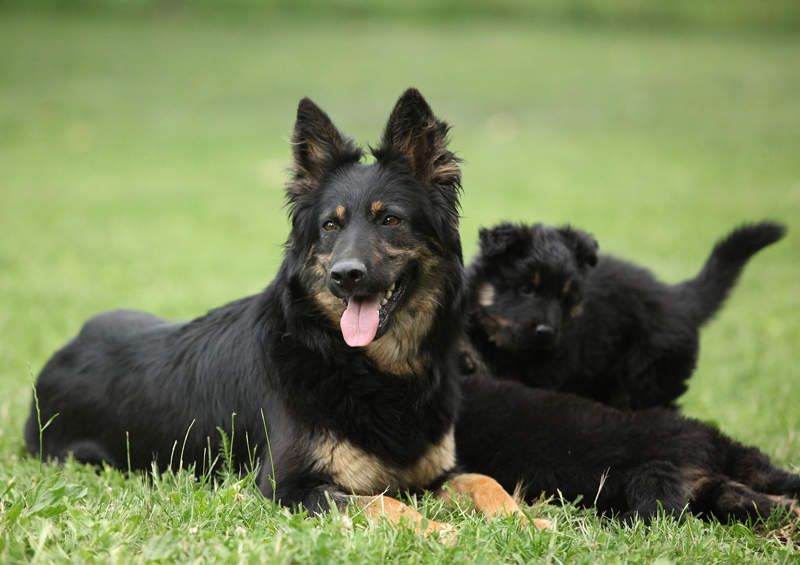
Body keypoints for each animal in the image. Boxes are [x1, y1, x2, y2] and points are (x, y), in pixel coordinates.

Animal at [26, 90, 552, 536]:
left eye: (390, 219)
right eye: (330, 226)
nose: (345, 276)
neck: (364, 368)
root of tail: (66, 348)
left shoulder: (436, 473)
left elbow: (484, 480)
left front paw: (527, 521)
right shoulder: (288, 487)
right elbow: (383, 502)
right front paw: (440, 531)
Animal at [462, 218, 788, 408]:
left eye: (565, 297)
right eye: (525, 289)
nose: (546, 332)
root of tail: (677, 297)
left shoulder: (547, 372)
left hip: (649, 378)